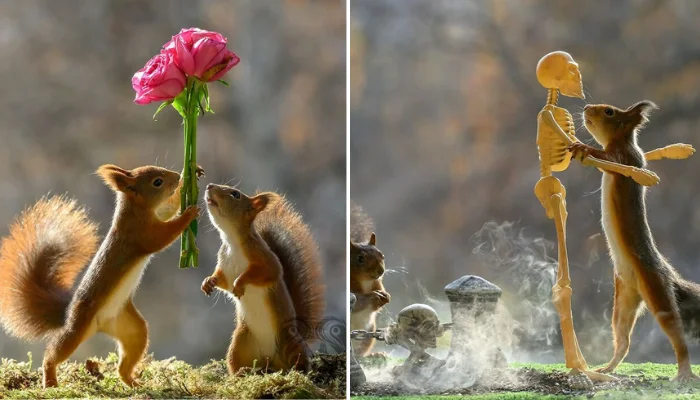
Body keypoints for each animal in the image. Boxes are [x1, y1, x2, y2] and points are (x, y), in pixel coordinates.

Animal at [0, 164, 200, 388]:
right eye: (157, 182)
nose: (175, 177)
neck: (134, 210)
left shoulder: (156, 215)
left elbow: (168, 209)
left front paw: (190, 175)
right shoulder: (140, 234)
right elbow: (162, 237)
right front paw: (189, 213)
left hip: (131, 328)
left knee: (125, 362)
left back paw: (132, 382)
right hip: (78, 328)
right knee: (54, 353)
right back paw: (50, 378)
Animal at [201, 184, 324, 373]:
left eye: (235, 194)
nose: (209, 186)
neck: (231, 242)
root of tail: (270, 361)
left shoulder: (266, 260)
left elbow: (264, 273)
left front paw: (240, 283)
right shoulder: (225, 266)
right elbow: (223, 281)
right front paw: (208, 282)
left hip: (289, 343)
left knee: (299, 361)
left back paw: (299, 370)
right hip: (241, 342)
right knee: (238, 362)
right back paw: (240, 373)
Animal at [350, 204, 389, 357]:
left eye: (382, 255)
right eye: (360, 259)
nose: (381, 271)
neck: (365, 281)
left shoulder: (377, 282)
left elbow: (382, 291)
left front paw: (385, 296)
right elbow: (358, 301)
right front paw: (373, 297)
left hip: (369, 333)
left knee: (360, 353)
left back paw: (376, 355)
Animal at [570, 100, 700, 382]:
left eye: (609, 112)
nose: (586, 107)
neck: (624, 140)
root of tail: (670, 275)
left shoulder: (623, 158)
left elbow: (608, 161)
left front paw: (582, 148)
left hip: (656, 289)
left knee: (676, 335)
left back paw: (684, 372)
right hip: (624, 297)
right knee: (623, 341)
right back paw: (607, 368)